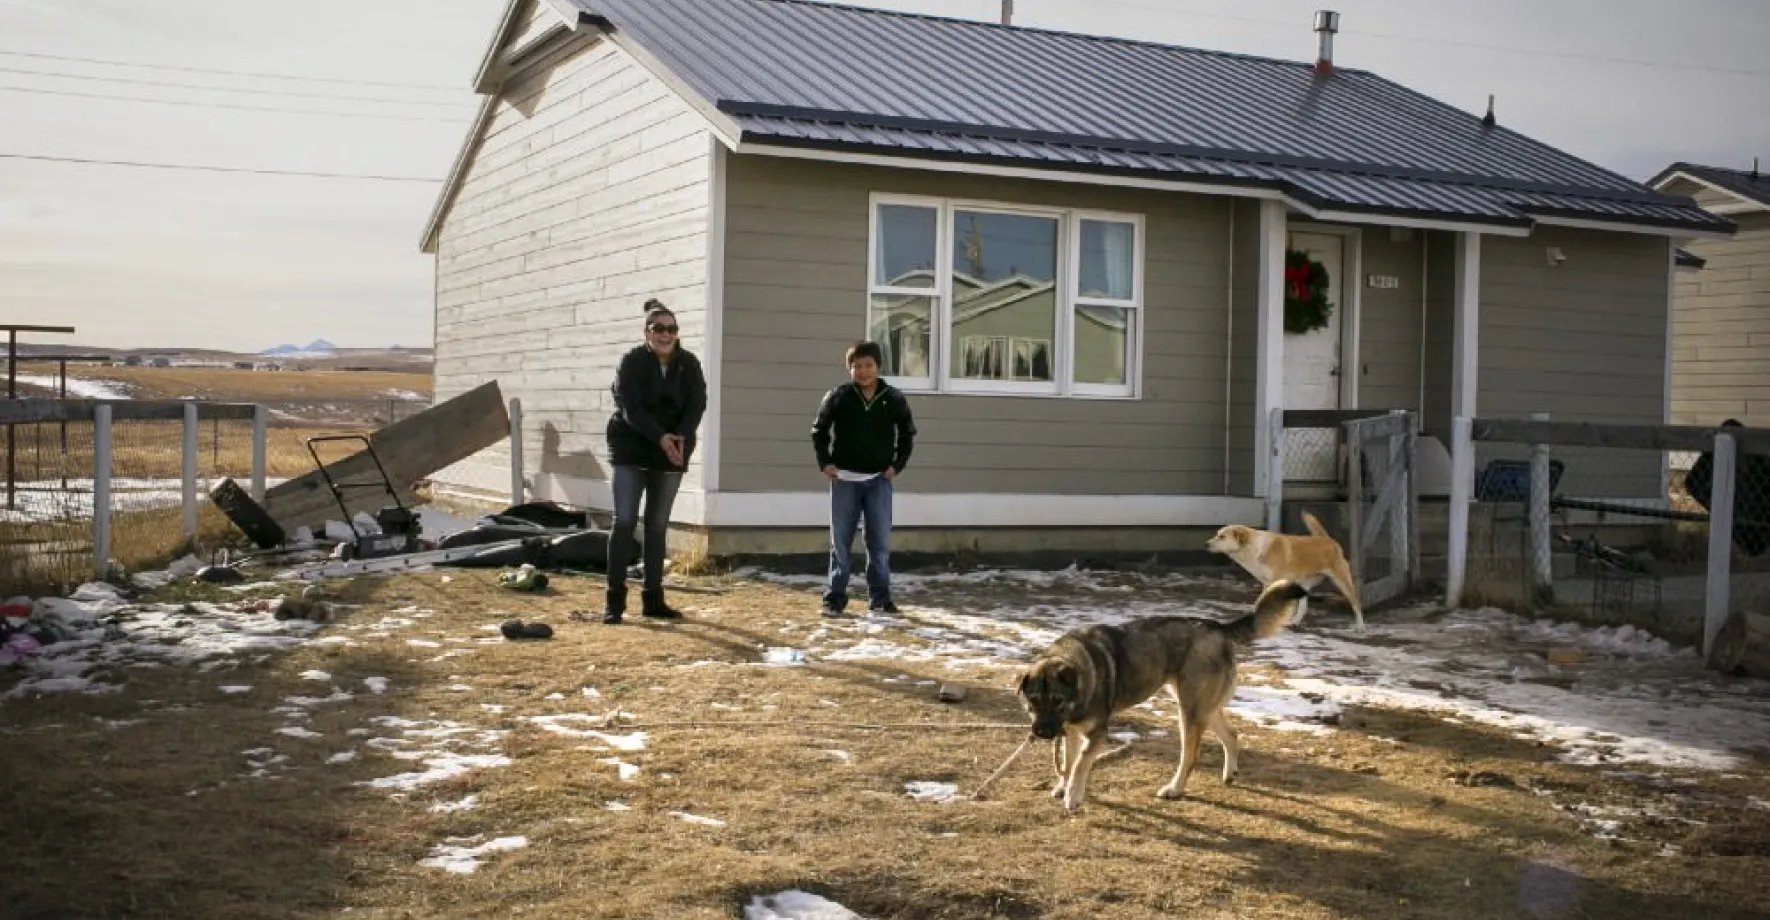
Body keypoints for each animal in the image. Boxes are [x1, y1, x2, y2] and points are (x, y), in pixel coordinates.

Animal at [1203, 509, 1366, 633]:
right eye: (1217, 534)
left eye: (1222, 537)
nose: (1205, 544)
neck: (1255, 548)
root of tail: (1329, 540)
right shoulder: (1266, 583)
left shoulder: (1274, 582)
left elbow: (1261, 601)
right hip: (1302, 584)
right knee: (1303, 607)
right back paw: (1295, 622)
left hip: (1342, 582)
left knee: (1356, 603)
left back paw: (1360, 627)